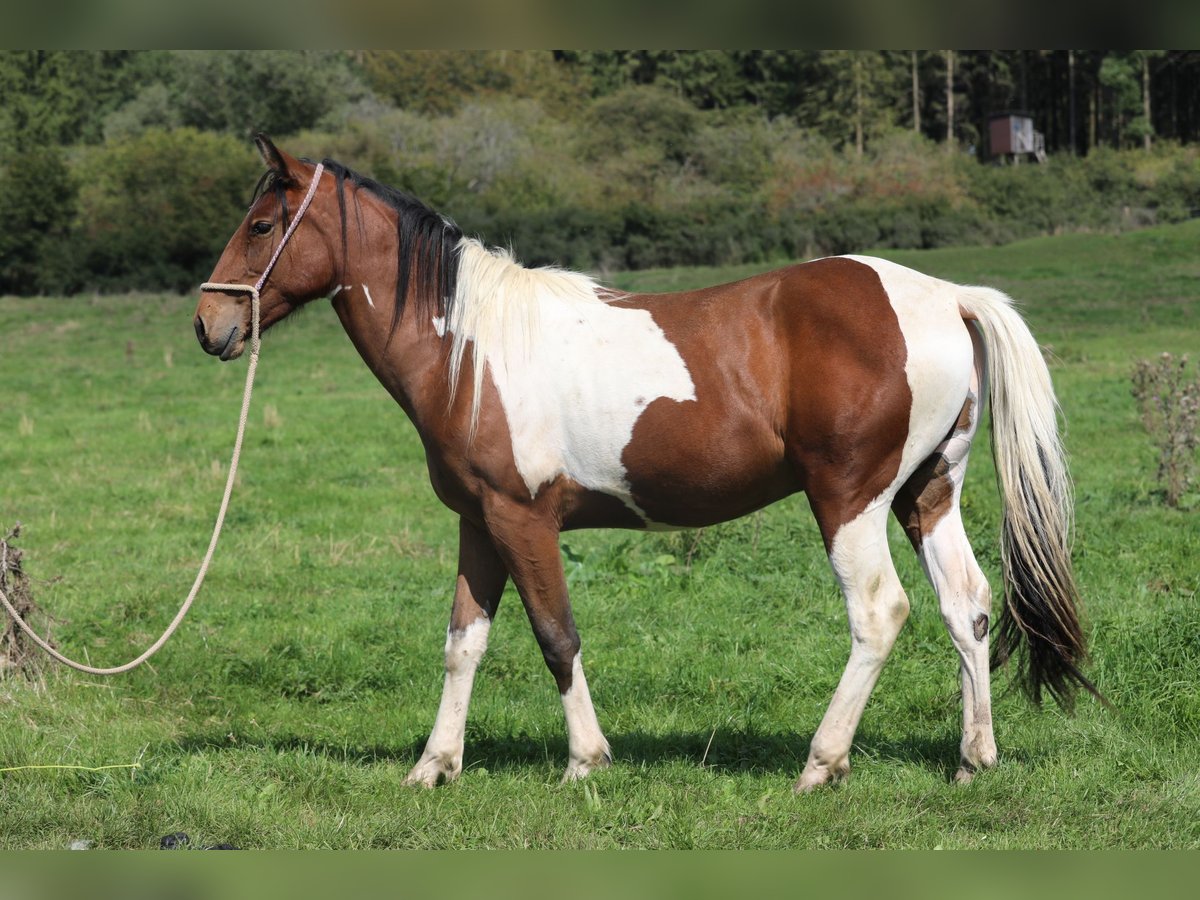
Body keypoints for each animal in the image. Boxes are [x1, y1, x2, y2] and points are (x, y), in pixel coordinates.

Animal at [195, 135, 1099, 792]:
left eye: (263, 226)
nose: (210, 325)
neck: (471, 349)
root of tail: (946, 297)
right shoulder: (478, 523)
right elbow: (463, 642)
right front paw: (434, 767)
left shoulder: (523, 520)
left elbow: (556, 635)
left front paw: (585, 762)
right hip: (926, 494)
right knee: (966, 606)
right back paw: (973, 759)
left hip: (850, 500)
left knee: (880, 613)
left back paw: (821, 764)